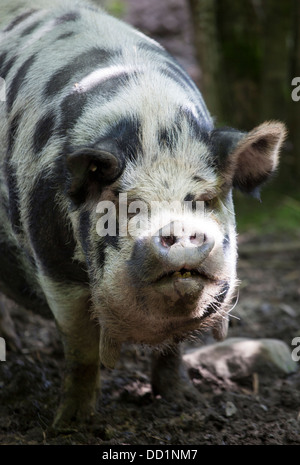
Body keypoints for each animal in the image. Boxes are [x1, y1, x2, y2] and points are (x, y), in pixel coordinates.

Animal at [0, 0, 286, 428]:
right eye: (128, 203)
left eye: (204, 199)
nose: (180, 230)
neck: (152, 125)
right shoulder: (52, 265)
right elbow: (81, 349)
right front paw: (69, 424)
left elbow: (174, 349)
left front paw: (185, 401)